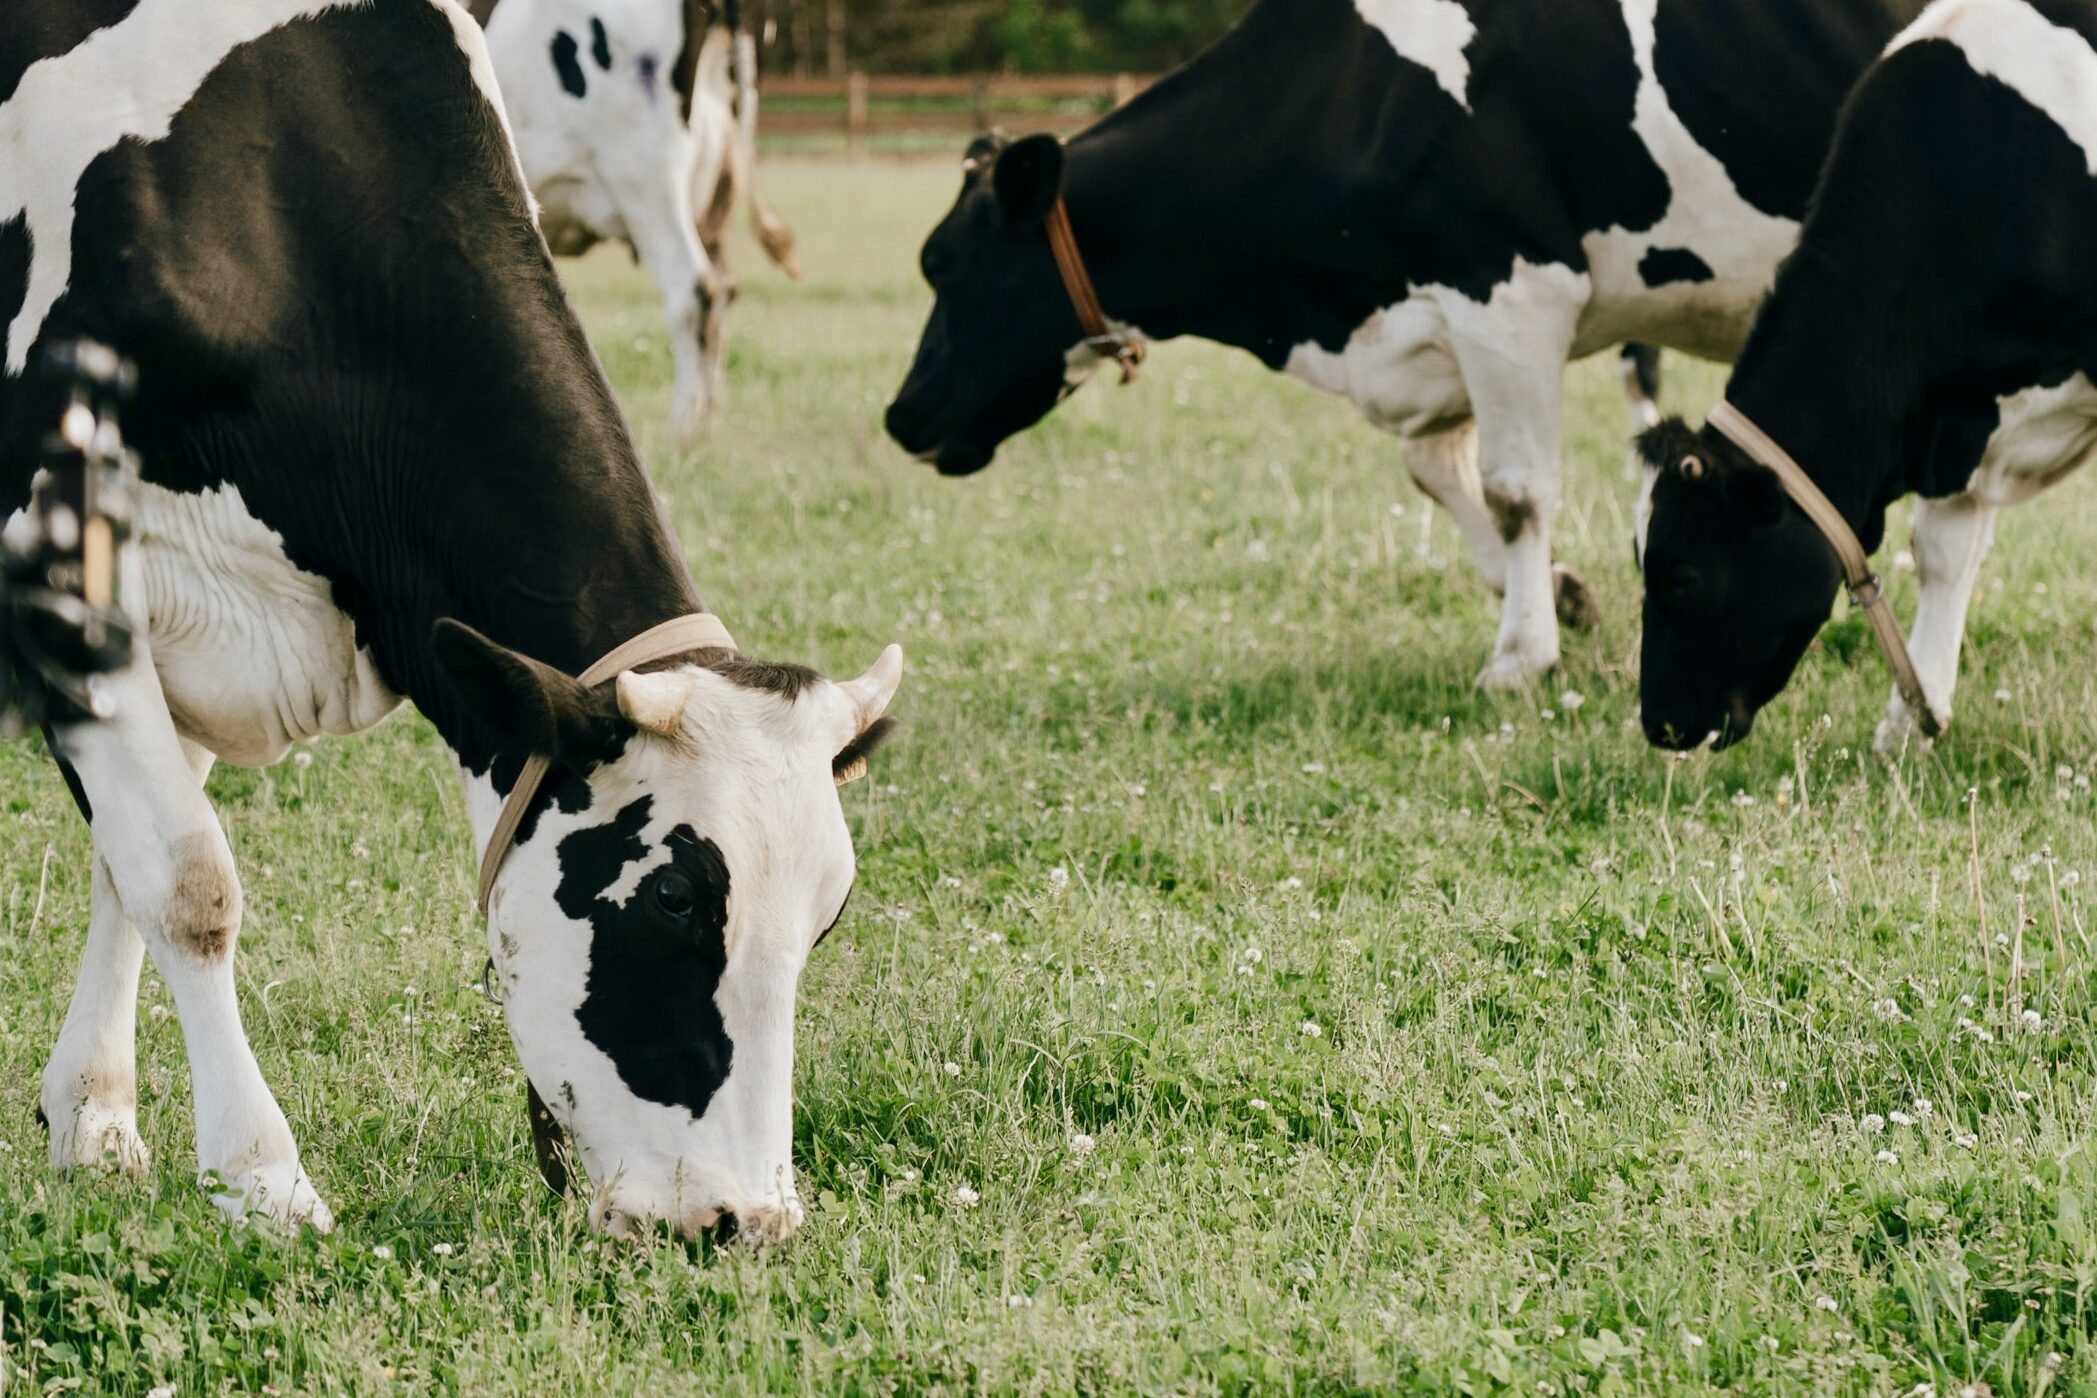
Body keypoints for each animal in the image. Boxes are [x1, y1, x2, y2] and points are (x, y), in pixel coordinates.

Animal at [480, 0, 796, 446]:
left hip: (647, 178)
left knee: (695, 291)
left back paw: (682, 429)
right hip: (716, 192)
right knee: (725, 291)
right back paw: (706, 420)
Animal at [884, 0, 1929, 691]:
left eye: (944, 264)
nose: (902, 416)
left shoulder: (1510, 288)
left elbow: (1515, 491)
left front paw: (1519, 657)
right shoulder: (1432, 325)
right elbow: (1436, 474)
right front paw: (1557, 593)